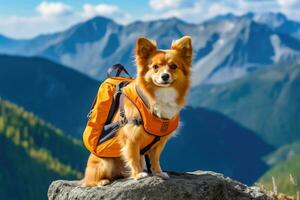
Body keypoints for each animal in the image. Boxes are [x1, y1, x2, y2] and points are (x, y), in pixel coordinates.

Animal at [81, 35, 192, 187]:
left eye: (173, 66)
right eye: (155, 67)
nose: (165, 76)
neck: (161, 95)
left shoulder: (159, 143)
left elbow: (155, 158)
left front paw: (158, 172)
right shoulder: (131, 137)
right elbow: (133, 156)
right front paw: (138, 174)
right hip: (104, 163)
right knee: (90, 180)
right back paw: (102, 181)